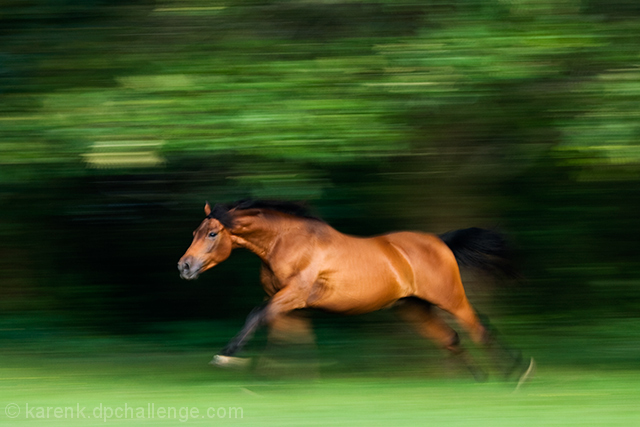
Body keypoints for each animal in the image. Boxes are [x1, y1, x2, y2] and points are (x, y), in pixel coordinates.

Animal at [178, 199, 534, 384]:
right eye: (194, 231)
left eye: (212, 233)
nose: (184, 266)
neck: (286, 244)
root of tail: (440, 241)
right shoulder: (290, 305)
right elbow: (292, 339)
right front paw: (284, 377)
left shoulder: (291, 296)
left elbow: (256, 316)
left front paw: (227, 356)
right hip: (412, 307)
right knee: (452, 337)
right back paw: (480, 379)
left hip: (449, 297)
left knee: (478, 329)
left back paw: (515, 373)